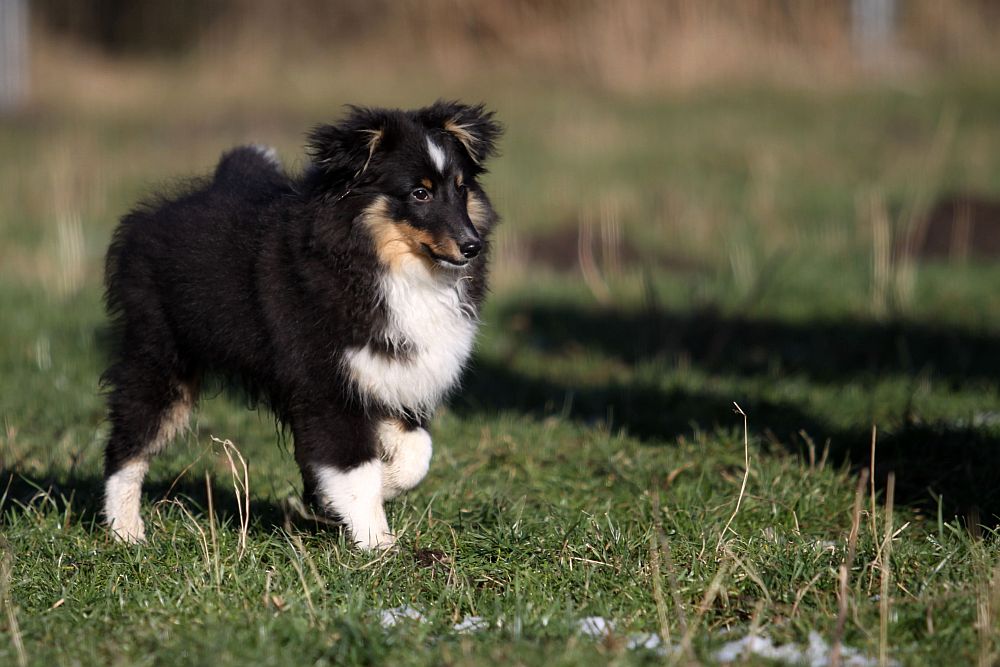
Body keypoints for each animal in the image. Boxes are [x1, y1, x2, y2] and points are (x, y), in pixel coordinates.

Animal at [101, 99, 500, 548]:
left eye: (461, 188)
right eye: (420, 192)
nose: (472, 246)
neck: (385, 266)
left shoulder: (388, 372)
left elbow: (417, 453)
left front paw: (340, 497)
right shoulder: (326, 385)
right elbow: (356, 469)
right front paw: (377, 543)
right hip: (160, 356)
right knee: (128, 443)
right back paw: (126, 531)